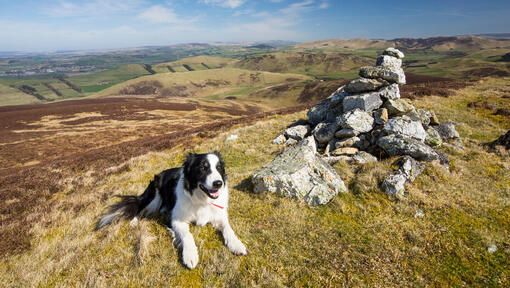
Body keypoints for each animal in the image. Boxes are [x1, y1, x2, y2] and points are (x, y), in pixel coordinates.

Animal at [97, 152, 247, 268]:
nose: (218, 183)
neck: (201, 199)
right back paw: (134, 221)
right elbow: (187, 235)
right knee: (140, 209)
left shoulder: (219, 215)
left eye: (219, 167)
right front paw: (190, 255)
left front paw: (236, 244)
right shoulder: (175, 219)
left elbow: (228, 228)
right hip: (155, 198)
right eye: (202, 168)